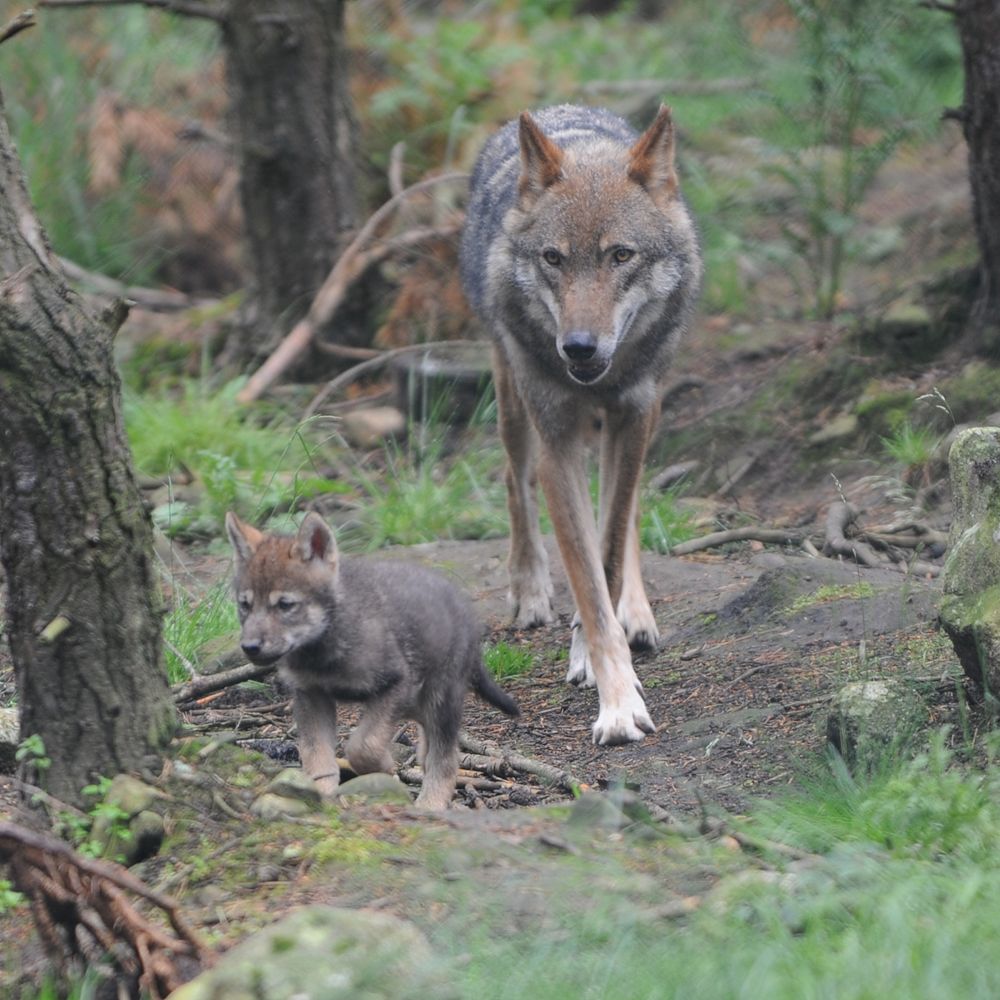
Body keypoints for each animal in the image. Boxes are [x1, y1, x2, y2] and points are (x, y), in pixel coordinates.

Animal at [462, 103, 704, 744]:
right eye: (554, 258)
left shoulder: (634, 417)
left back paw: (637, 613)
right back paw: (529, 591)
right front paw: (616, 702)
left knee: (629, 510)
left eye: (621, 255)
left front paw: (598, 652)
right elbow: (588, 580)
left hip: (644, 418)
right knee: (514, 483)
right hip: (513, 403)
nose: (577, 348)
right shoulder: (557, 447)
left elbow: (610, 552)